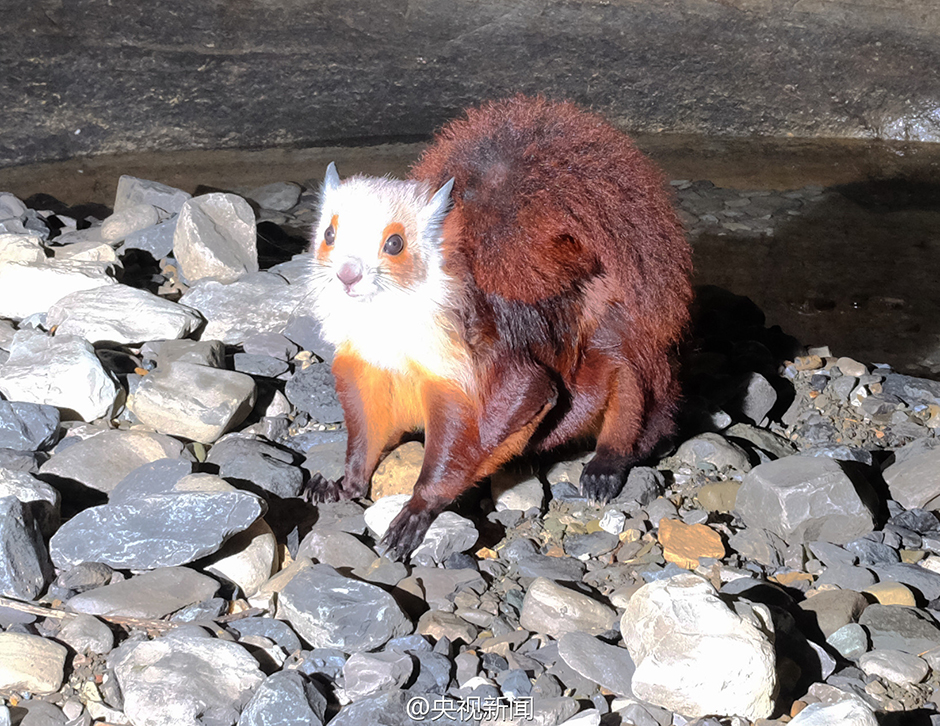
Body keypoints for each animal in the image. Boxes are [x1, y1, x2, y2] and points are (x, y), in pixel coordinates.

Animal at [306, 96, 692, 560]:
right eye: (329, 233)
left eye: (395, 243)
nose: (347, 275)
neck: (385, 321)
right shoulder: (364, 371)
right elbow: (366, 435)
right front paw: (344, 485)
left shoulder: (472, 368)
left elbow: (510, 408)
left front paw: (420, 508)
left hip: (620, 345)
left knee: (634, 398)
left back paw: (606, 466)